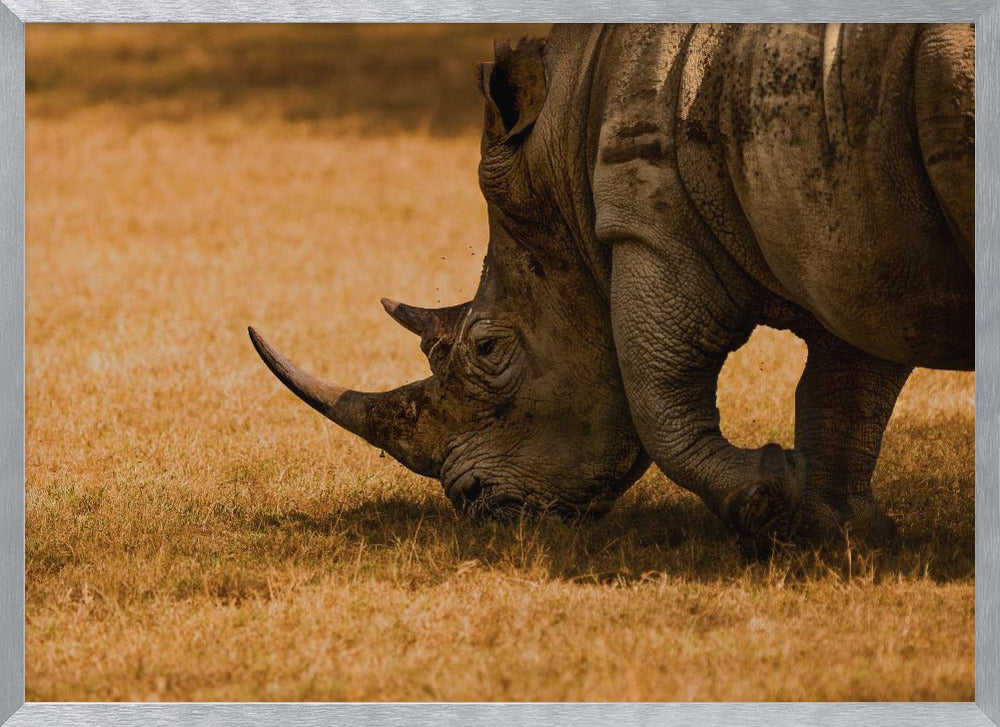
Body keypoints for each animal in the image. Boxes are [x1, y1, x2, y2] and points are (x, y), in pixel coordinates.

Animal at [249, 23, 974, 550]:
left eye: (486, 349)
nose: (477, 506)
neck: (562, 142)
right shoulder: (852, 235)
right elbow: (847, 386)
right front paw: (840, 533)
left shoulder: (650, 220)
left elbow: (656, 390)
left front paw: (770, 505)